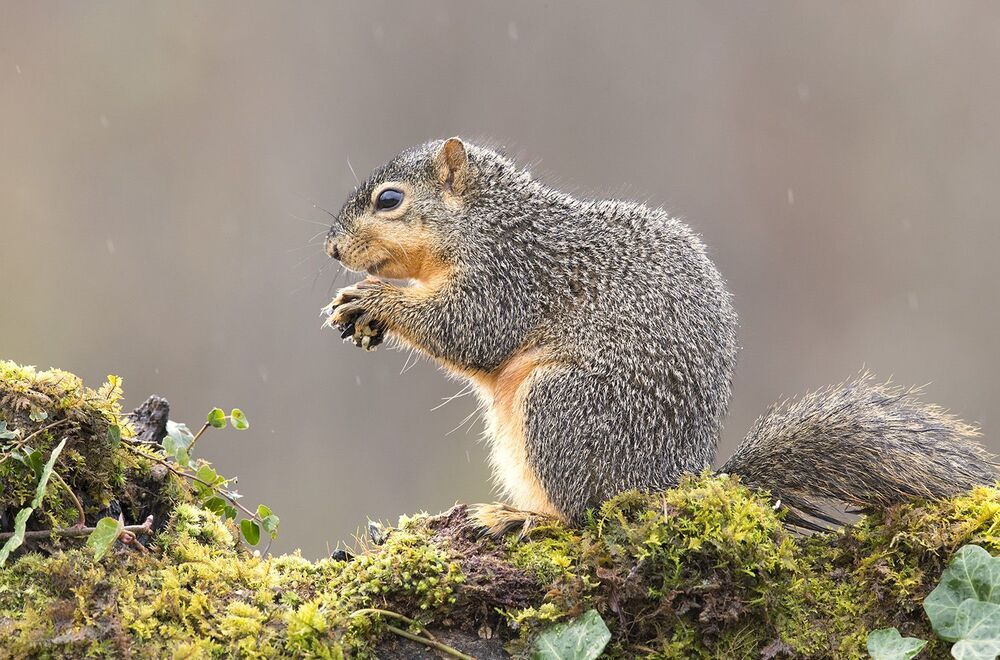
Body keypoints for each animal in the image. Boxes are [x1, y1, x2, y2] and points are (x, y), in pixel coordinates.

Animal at [322, 137, 996, 533]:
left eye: (389, 200)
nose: (332, 249)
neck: (491, 221)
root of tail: (674, 482)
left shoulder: (515, 275)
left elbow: (471, 328)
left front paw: (372, 300)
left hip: (559, 407)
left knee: (585, 516)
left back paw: (519, 519)